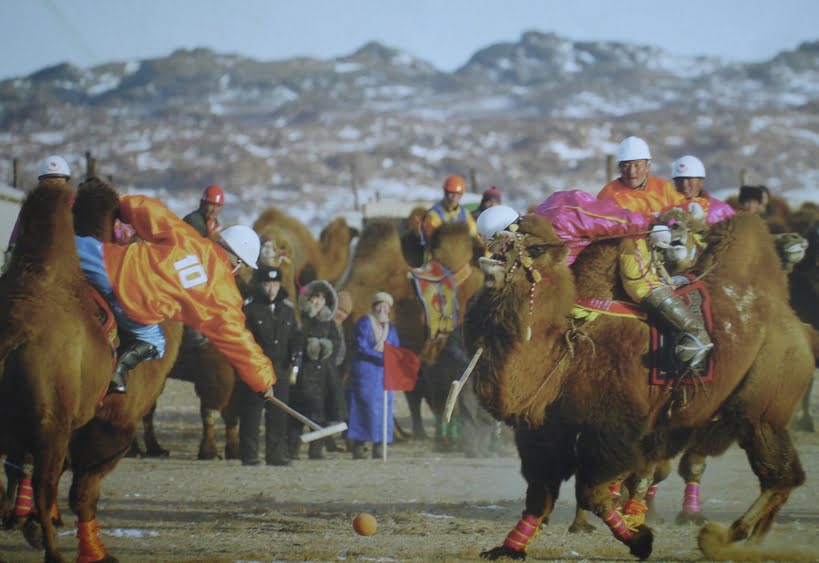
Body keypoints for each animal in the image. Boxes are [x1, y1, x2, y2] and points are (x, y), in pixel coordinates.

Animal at [468, 210, 812, 560]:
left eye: (535, 249)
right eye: (500, 234)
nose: (495, 243)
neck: (567, 351)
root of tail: (800, 327)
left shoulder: (610, 429)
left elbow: (593, 493)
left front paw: (639, 539)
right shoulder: (547, 430)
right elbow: (541, 493)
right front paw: (508, 547)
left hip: (761, 411)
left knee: (781, 475)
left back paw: (723, 537)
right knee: (781, 478)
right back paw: (752, 540)